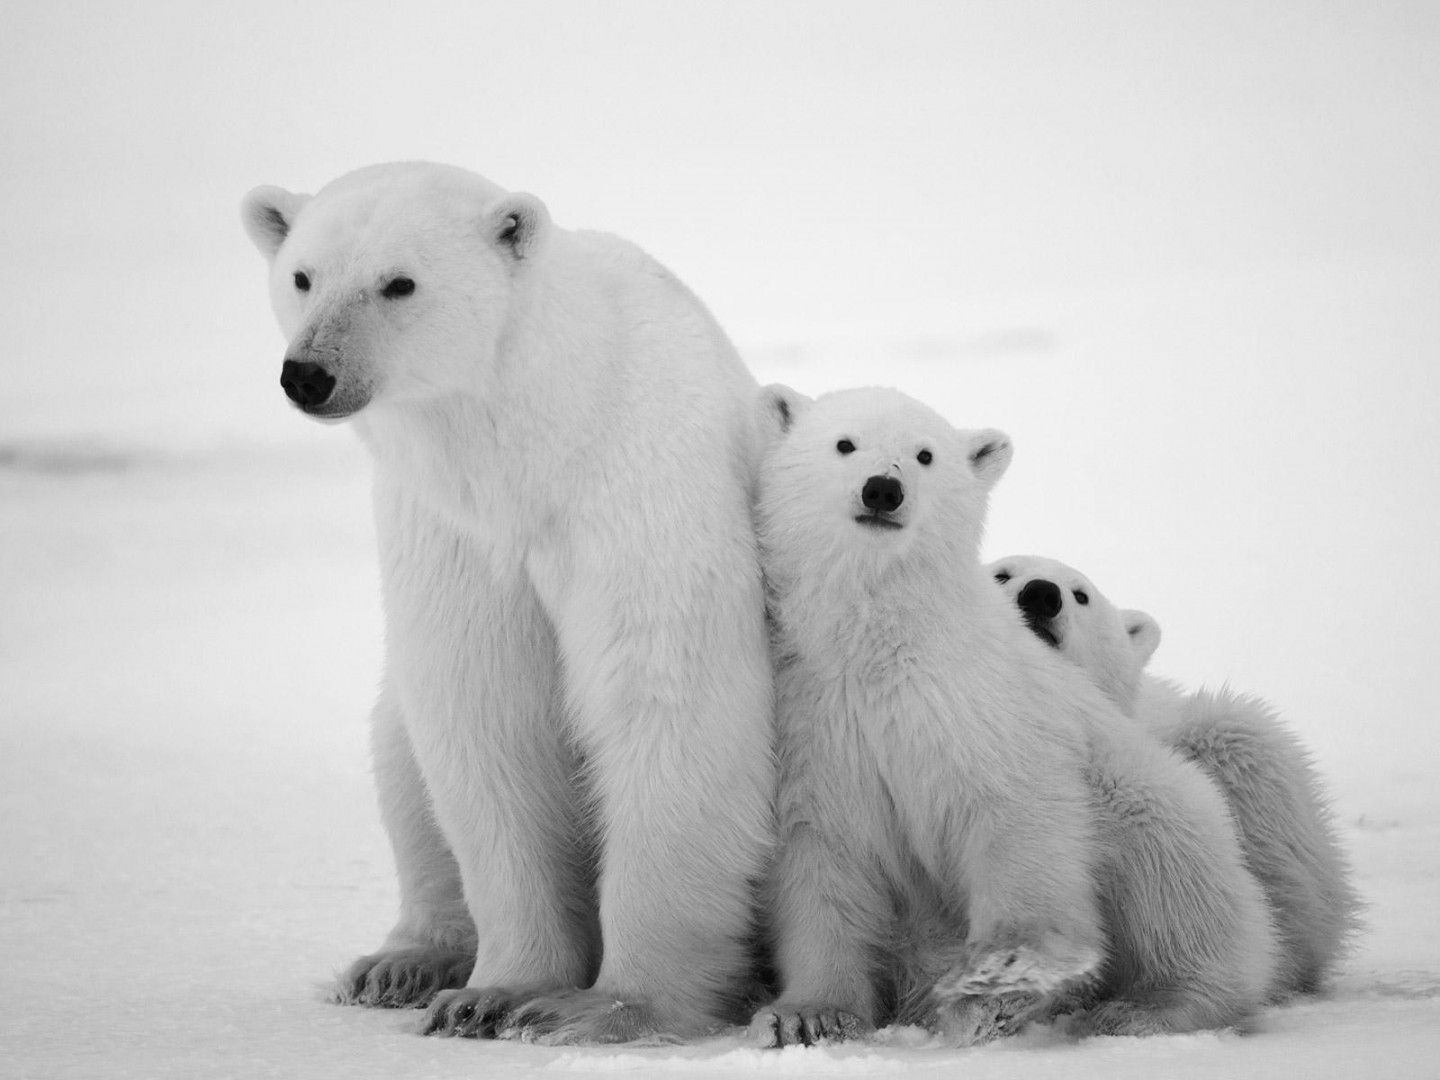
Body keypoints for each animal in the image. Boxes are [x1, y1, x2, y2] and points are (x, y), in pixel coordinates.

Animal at [239, 164, 777, 1042]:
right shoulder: (453, 532)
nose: (309, 374)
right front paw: (492, 994)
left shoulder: (640, 493)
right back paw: (402, 961)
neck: (536, 442)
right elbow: (484, 716)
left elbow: (666, 702)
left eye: (399, 282)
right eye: (303, 276)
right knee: (400, 755)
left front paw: (605, 1008)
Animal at [748, 385, 1278, 1048]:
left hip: (1149, 795)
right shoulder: (816, 719)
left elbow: (1016, 814)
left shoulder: (979, 700)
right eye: (844, 444)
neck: (879, 642)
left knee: (1174, 877)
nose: (883, 489)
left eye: (925, 455)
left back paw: (1149, 1007)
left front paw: (997, 987)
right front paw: (807, 1016)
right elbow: (822, 858)